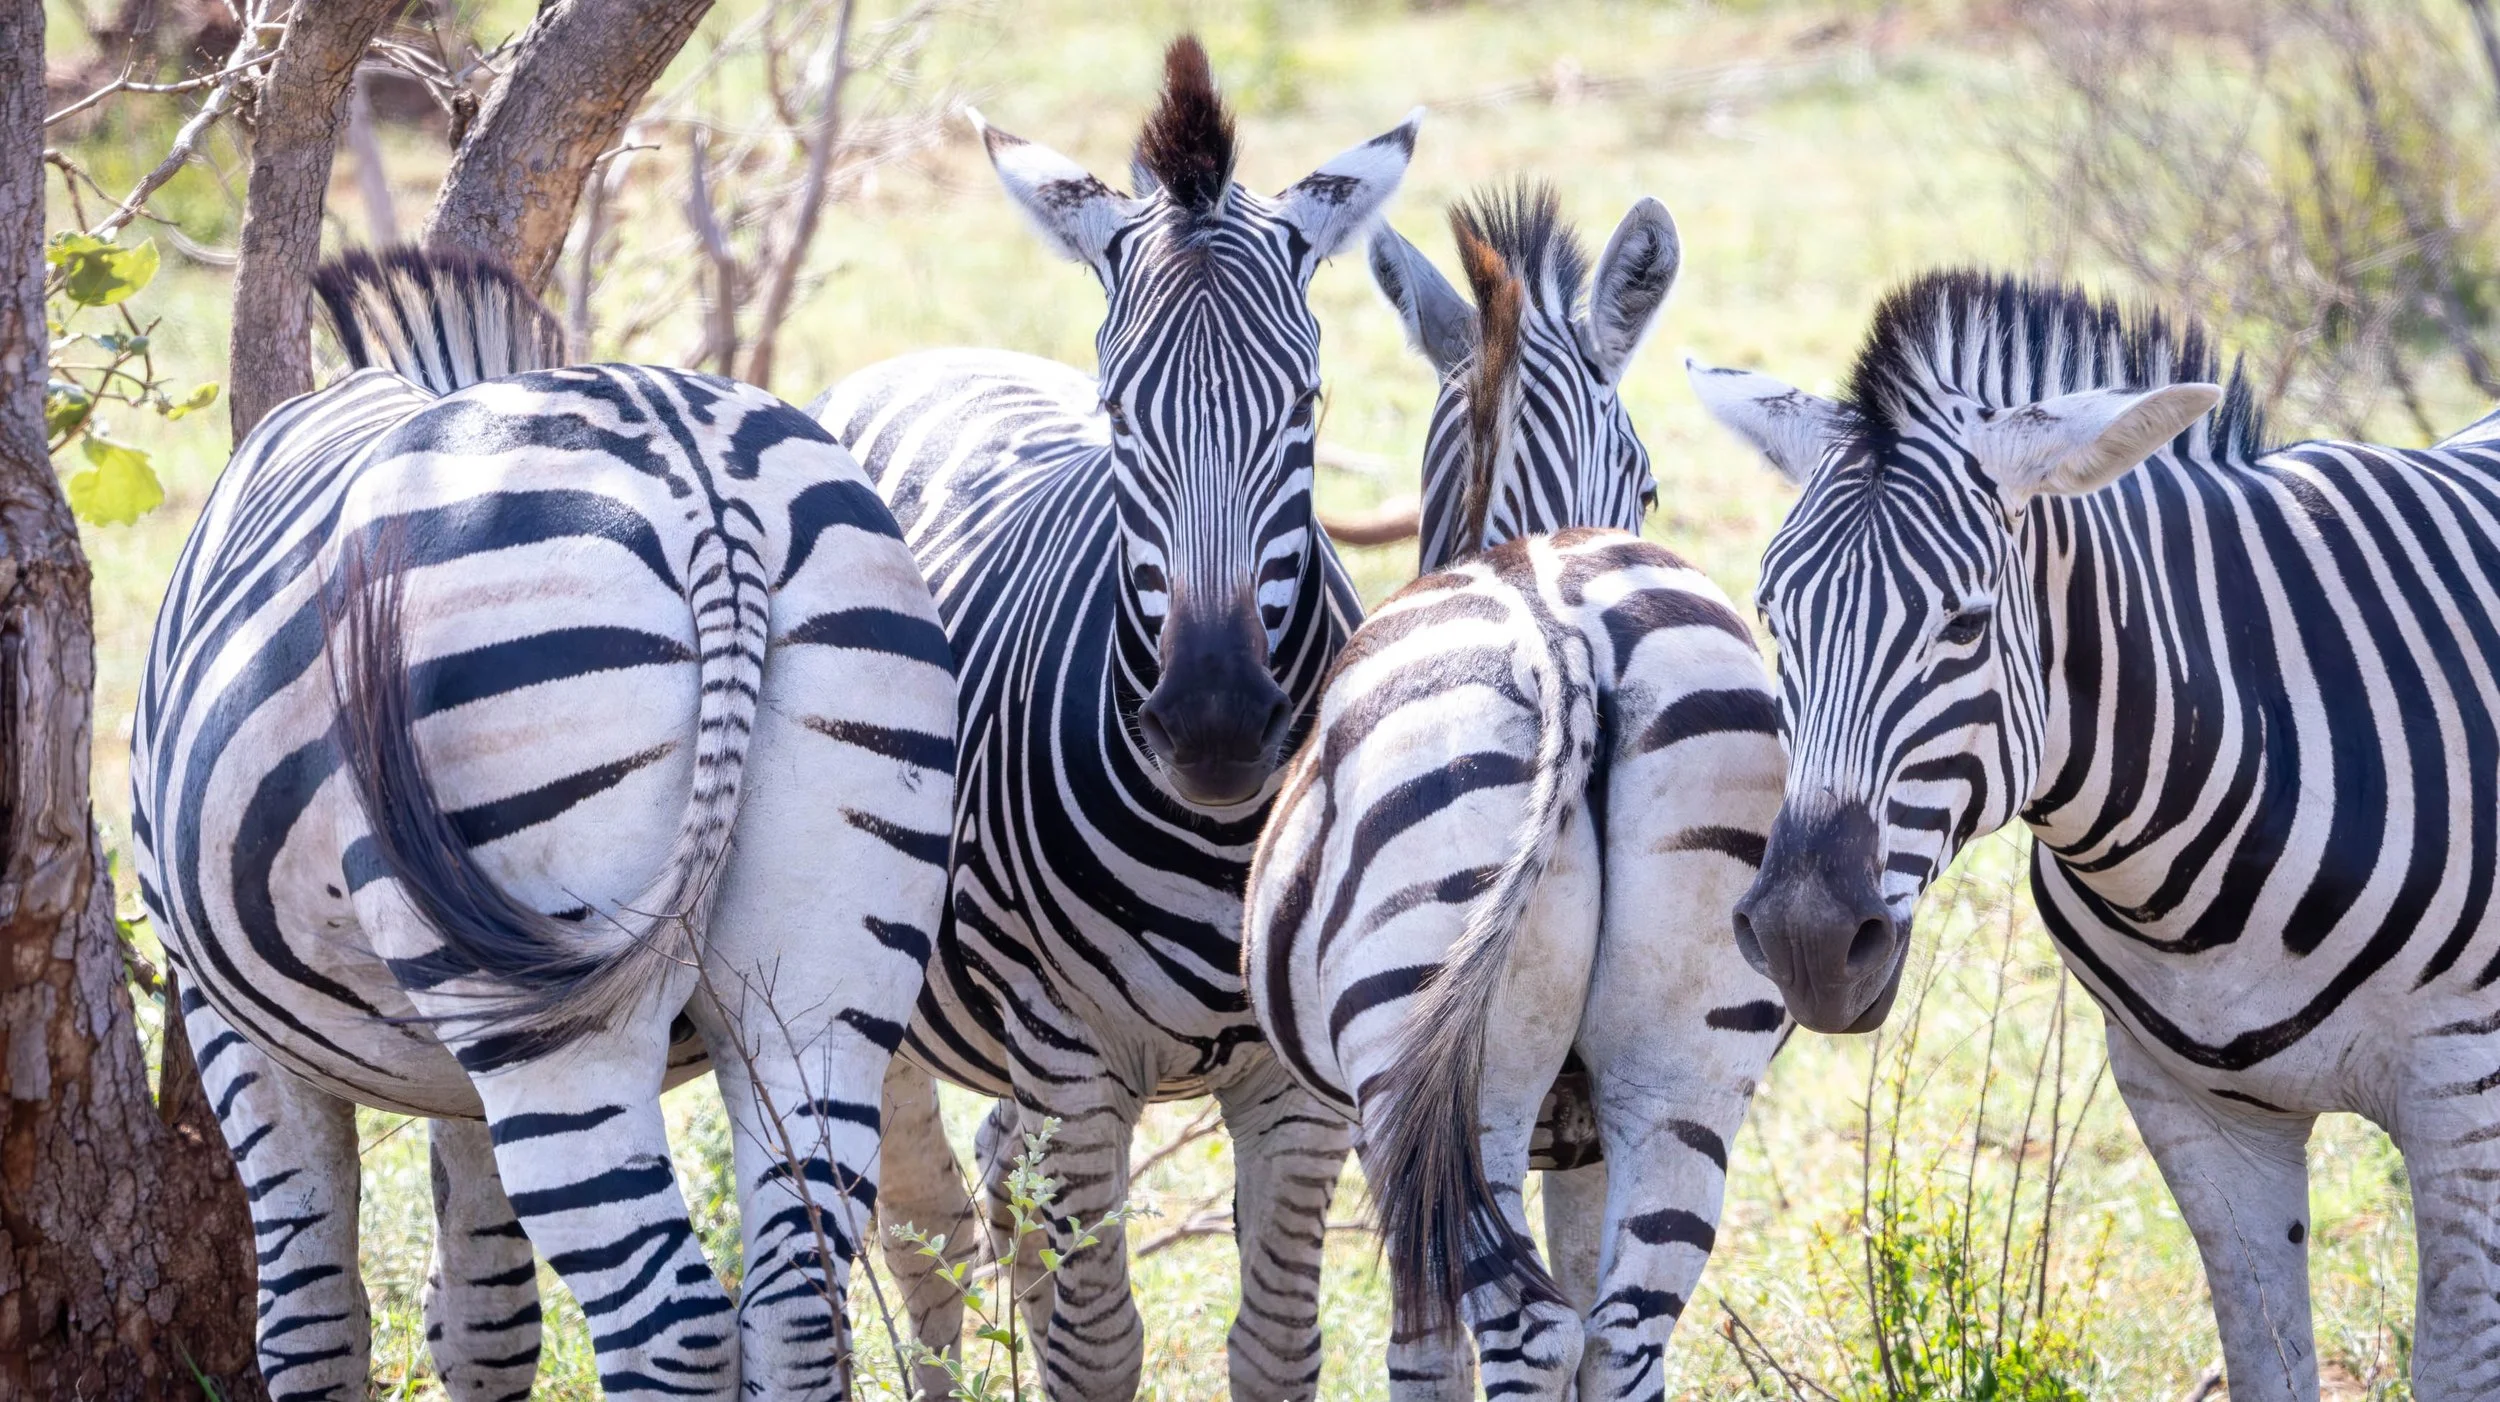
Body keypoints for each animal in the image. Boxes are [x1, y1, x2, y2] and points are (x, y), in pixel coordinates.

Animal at [131, 247, 956, 1400]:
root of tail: (707, 488)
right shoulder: (459, 1091)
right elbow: (484, 1314)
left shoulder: (231, 1027)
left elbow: (312, 1321)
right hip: (827, 972)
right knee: (797, 1306)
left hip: (545, 1009)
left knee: (672, 1326)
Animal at [809, 37, 1417, 1401]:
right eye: (1120, 413)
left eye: (1305, 408)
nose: (1216, 726)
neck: (1216, 844)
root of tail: (911, 359)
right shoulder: (1073, 1061)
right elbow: (1099, 1352)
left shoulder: (1300, 1089)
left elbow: (1274, 1346)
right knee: (927, 1238)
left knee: (995, 1194)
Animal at [1243, 186, 1790, 1400]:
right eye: (1649, 479)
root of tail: (1564, 638)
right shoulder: (1584, 1132)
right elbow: (1587, 1299)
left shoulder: (1389, 1127)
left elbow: (1423, 1353)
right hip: (1685, 1059)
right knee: (1621, 1332)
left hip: (1442, 1061)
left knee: (1530, 1327)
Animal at [1689, 268, 2500, 1402]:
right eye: (1773, 619)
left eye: (1964, 626)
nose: (1806, 939)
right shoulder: (2199, 1114)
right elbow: (2266, 1363)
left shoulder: (2462, 1097)